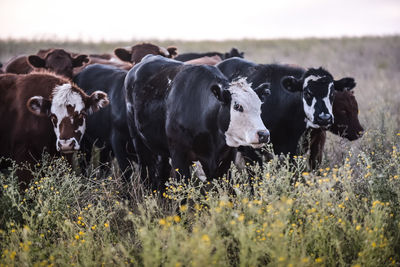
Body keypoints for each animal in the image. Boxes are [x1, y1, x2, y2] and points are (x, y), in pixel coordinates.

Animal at [123, 55, 270, 191]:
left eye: (260, 106)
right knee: (145, 172)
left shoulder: (225, 159)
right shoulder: (179, 156)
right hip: (139, 143)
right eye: (238, 106)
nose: (264, 134)